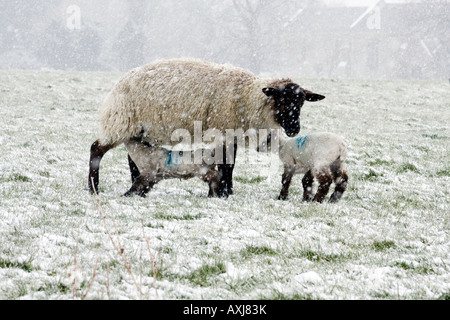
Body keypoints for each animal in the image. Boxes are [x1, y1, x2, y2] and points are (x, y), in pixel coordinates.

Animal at [88, 58, 326, 196]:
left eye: (301, 102)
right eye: (282, 100)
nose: (294, 129)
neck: (247, 97)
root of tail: (119, 83)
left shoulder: (231, 134)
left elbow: (230, 163)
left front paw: (227, 191)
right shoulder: (222, 130)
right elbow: (227, 164)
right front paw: (224, 192)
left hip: (142, 130)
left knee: (134, 157)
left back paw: (139, 187)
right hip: (120, 122)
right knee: (96, 149)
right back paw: (93, 188)